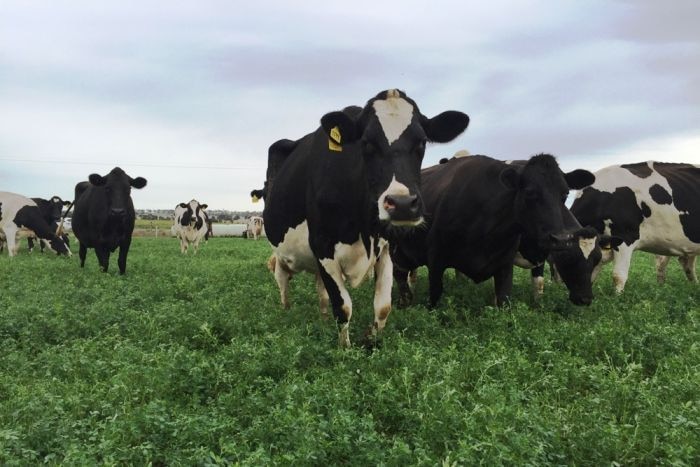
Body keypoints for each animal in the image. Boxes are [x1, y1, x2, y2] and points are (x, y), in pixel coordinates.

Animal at [392, 154, 600, 308]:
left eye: (565, 194)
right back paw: (405, 301)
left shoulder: (511, 263)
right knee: (400, 275)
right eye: (530, 192)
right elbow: (434, 297)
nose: (585, 299)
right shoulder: (436, 259)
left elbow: (515, 295)